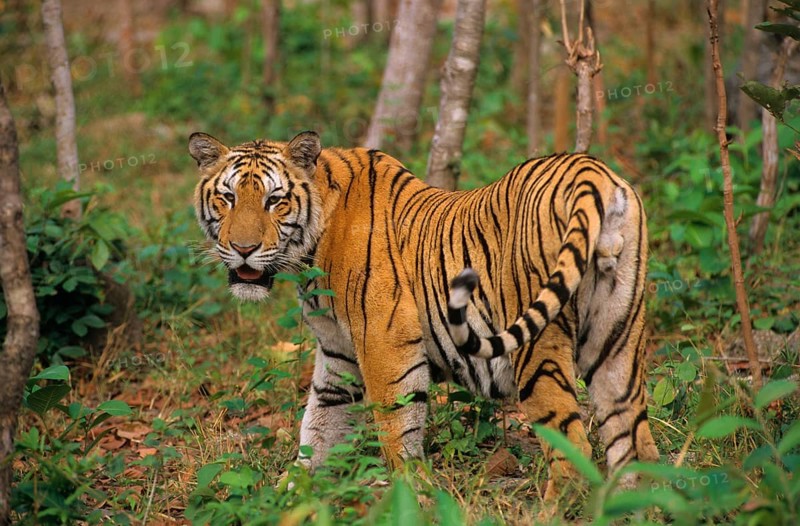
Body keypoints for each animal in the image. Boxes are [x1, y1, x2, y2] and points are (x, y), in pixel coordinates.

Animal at [188, 130, 660, 501]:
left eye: (275, 201)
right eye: (228, 197)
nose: (244, 249)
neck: (309, 251)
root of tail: (588, 170)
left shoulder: (385, 342)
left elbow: (396, 426)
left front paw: (410, 494)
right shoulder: (337, 353)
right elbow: (320, 424)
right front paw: (290, 495)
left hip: (539, 350)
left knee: (572, 450)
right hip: (616, 341)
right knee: (637, 447)